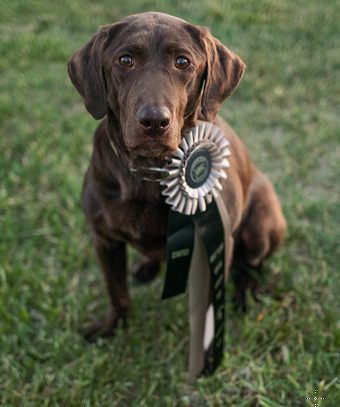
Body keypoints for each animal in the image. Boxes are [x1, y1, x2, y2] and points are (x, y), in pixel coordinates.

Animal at [67, 11, 286, 342]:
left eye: (183, 62)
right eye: (125, 60)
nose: (155, 121)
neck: (150, 170)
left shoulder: (217, 243)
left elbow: (208, 308)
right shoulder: (105, 239)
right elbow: (117, 291)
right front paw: (111, 326)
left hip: (262, 223)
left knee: (254, 263)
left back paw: (246, 291)